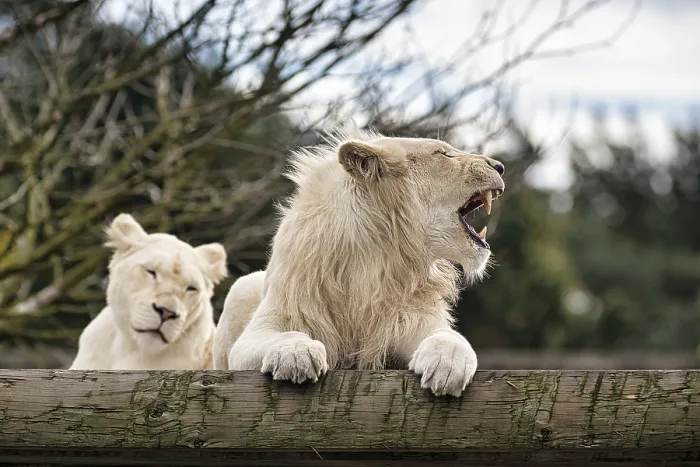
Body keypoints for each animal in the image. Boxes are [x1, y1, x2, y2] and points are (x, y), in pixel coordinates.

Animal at [213, 128, 504, 396]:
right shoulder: (263, 329)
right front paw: (297, 354)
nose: (500, 166)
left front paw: (448, 364)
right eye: (444, 154)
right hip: (242, 287)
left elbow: (449, 337)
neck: (378, 258)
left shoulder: (411, 323)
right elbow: (284, 334)